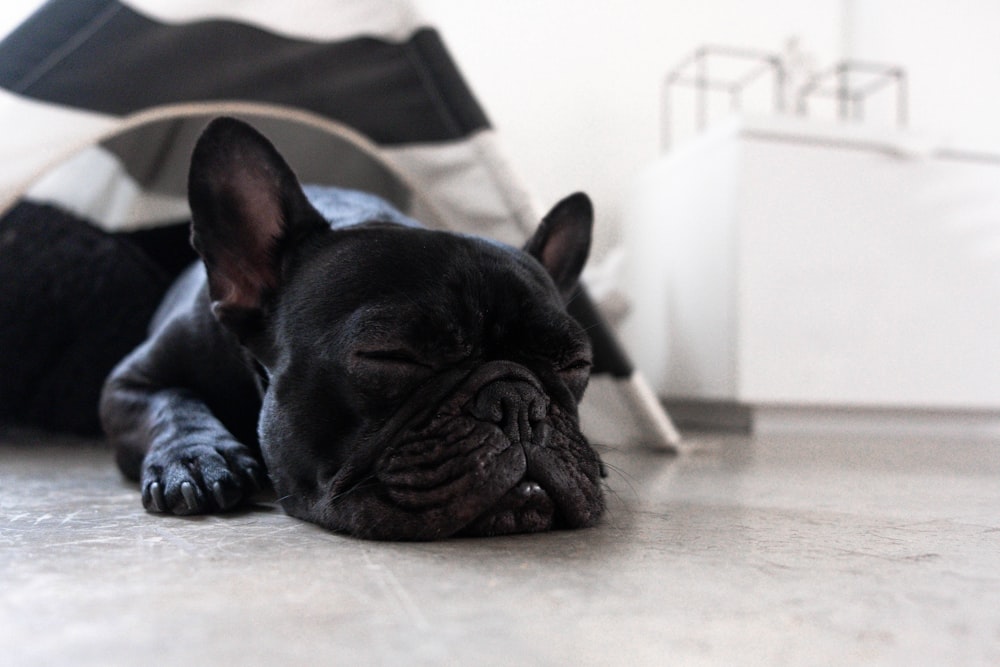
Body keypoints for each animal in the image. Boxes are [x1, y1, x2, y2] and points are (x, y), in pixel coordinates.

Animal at [97, 117, 604, 540]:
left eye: (577, 364)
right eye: (390, 356)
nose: (520, 402)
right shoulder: (126, 383)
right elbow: (171, 403)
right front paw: (196, 457)